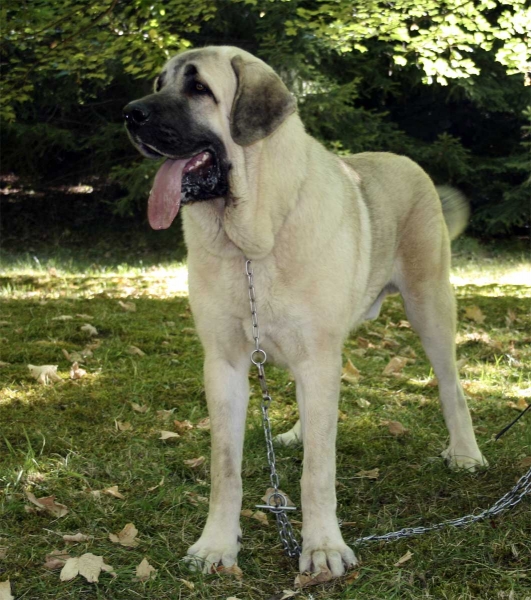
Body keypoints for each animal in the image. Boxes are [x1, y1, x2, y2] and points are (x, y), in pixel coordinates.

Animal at [123, 45, 486, 576]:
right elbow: (225, 467)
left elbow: (318, 470)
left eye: (198, 88)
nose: (130, 114)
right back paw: (296, 432)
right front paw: (216, 545)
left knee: (450, 386)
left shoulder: (319, 358)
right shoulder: (225, 365)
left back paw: (465, 452)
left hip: (429, 307)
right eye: (158, 83)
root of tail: (404, 160)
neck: (253, 243)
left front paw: (322, 546)